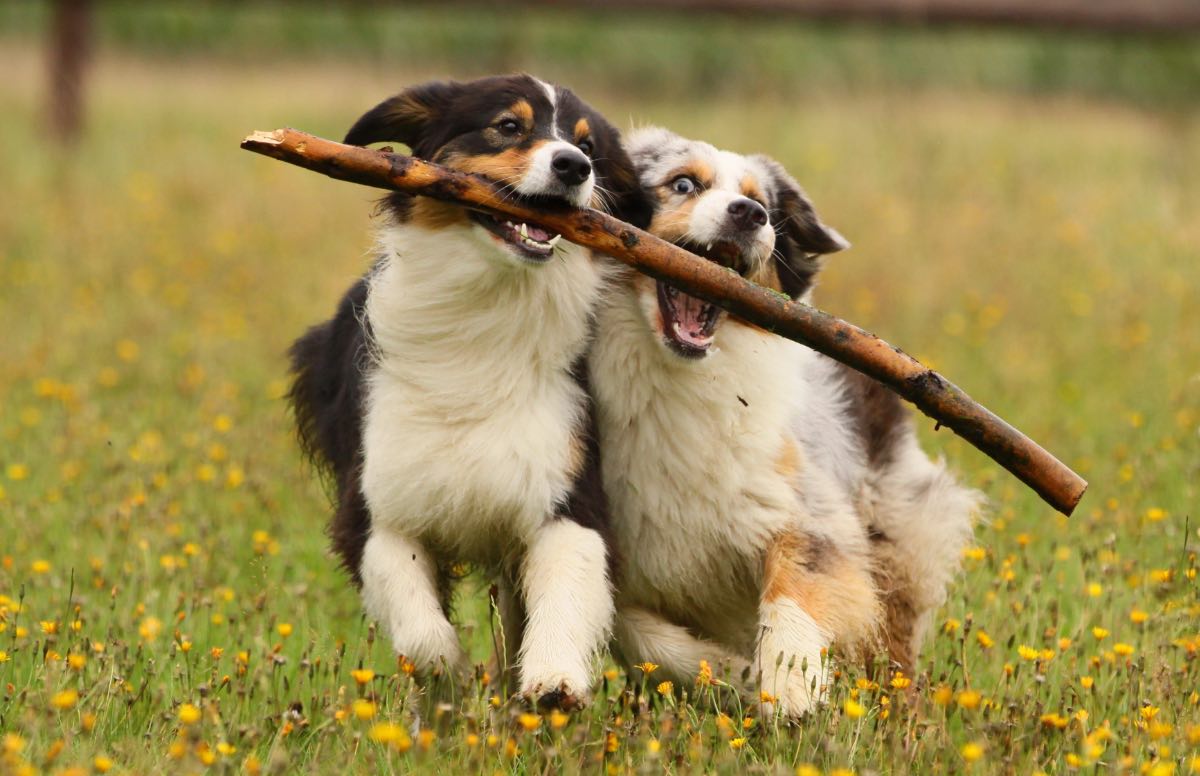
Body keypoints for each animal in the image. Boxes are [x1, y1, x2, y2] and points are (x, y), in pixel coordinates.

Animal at [286, 75, 652, 705]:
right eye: (507, 125)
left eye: (589, 146)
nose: (573, 166)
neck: (489, 307)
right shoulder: (378, 503)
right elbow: (424, 632)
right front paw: (450, 682)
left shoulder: (567, 486)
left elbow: (565, 589)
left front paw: (553, 682)